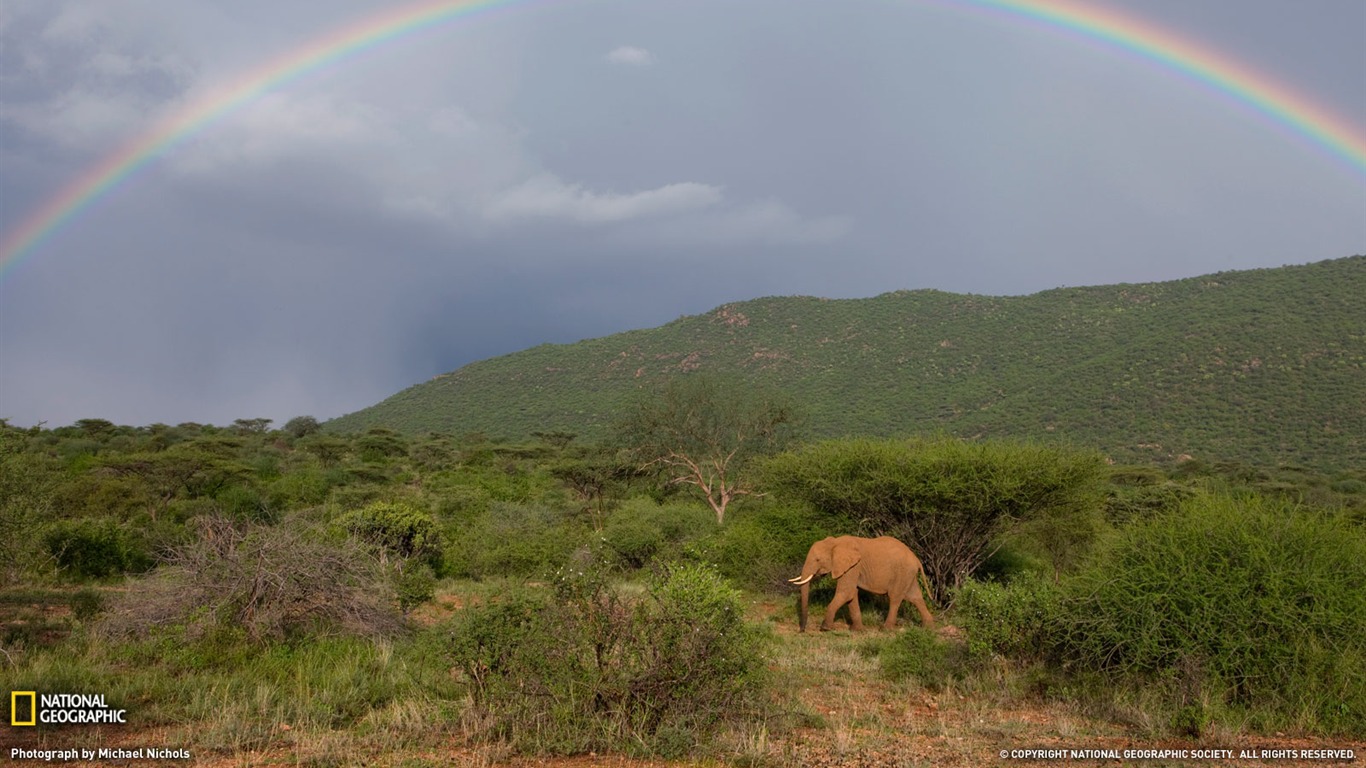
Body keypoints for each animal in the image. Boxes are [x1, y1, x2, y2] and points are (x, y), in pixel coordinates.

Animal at [786, 535, 934, 631]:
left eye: (817, 560)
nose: (802, 630)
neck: (835, 542)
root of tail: (916, 559)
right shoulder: (852, 568)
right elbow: (851, 594)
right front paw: (857, 630)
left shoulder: (853, 566)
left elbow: (845, 593)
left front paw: (825, 628)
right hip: (908, 574)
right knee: (915, 597)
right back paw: (929, 627)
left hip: (902, 573)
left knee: (895, 598)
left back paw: (885, 629)